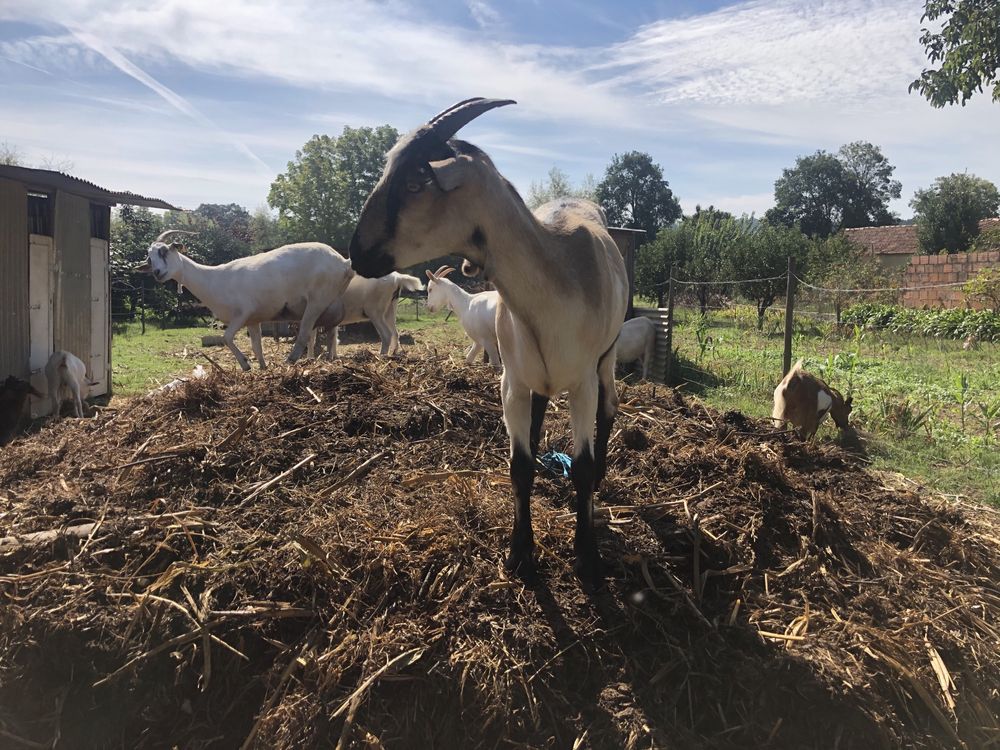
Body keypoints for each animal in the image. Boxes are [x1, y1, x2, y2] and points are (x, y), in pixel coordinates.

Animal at [137, 229, 356, 370]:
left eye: (164, 251)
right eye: (149, 257)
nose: (157, 273)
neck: (214, 279)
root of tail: (344, 262)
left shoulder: (242, 314)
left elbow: (226, 337)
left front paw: (245, 364)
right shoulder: (253, 320)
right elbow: (257, 346)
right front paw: (262, 367)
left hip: (316, 301)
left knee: (304, 335)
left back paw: (289, 362)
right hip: (329, 302)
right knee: (332, 334)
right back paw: (329, 359)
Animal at [352, 101, 628, 592]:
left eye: (415, 182)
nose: (355, 252)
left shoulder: (581, 382)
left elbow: (580, 465)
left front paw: (588, 557)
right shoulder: (511, 381)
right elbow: (518, 465)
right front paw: (520, 554)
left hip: (606, 357)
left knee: (610, 406)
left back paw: (601, 478)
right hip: (535, 375)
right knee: (540, 411)